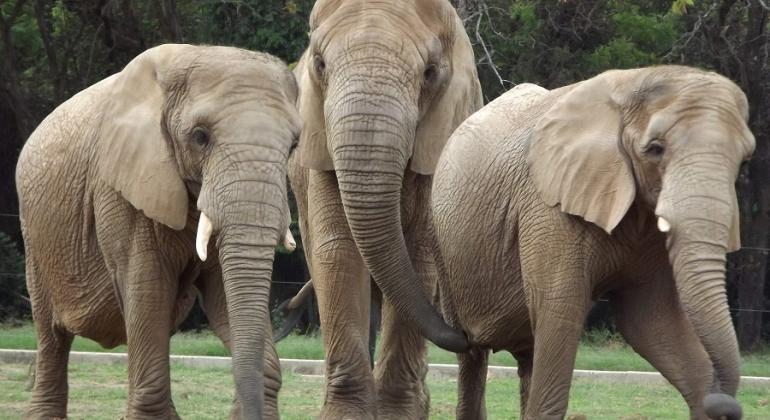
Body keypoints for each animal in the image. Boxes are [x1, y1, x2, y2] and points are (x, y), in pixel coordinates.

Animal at [18, 43, 300, 420]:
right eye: (200, 137)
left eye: (294, 145)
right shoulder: (120, 188)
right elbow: (148, 286)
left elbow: (222, 295)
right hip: (35, 235)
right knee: (52, 334)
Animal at [286, 0, 480, 416]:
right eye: (320, 64)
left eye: (430, 72)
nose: (468, 335)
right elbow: (337, 252)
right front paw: (345, 415)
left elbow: (418, 256)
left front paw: (396, 415)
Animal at [428, 67, 752, 418]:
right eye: (655, 148)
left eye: (745, 161)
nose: (725, 401)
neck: (633, 83)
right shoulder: (550, 209)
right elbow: (561, 312)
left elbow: (650, 321)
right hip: (443, 242)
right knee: (472, 355)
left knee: (528, 357)